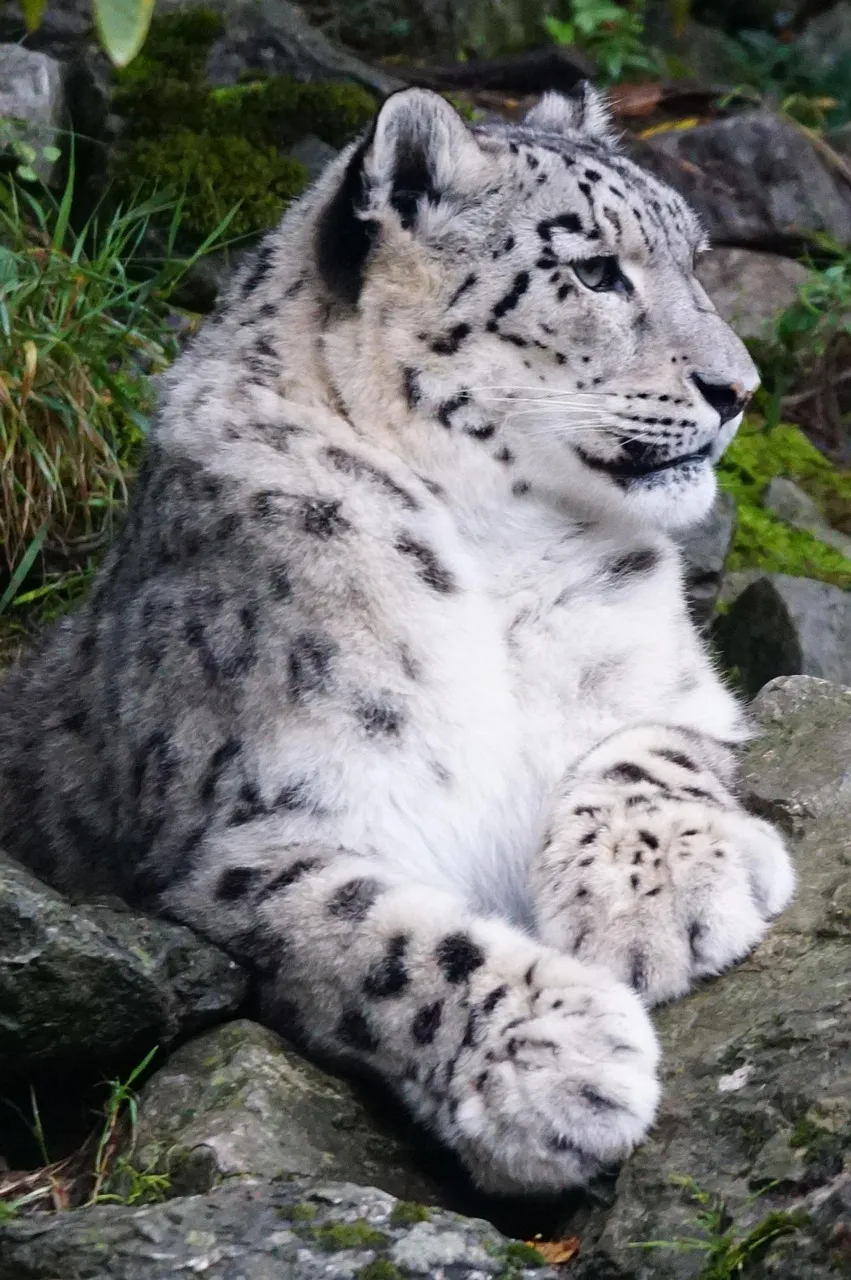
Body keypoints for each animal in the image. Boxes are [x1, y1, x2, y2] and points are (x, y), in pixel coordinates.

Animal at [0, 84, 795, 1195]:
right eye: (594, 267)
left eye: (694, 258)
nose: (740, 390)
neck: (502, 549)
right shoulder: (250, 834)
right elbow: (383, 944)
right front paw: (557, 1061)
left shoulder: (669, 685)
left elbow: (647, 752)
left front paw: (659, 899)